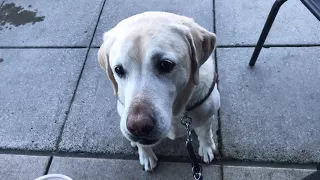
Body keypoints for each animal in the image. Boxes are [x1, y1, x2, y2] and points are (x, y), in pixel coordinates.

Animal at [99, 11, 221, 172]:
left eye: (166, 64)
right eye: (118, 69)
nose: (138, 127)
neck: (176, 112)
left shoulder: (207, 113)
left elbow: (205, 132)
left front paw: (206, 147)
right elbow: (142, 145)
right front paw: (145, 154)